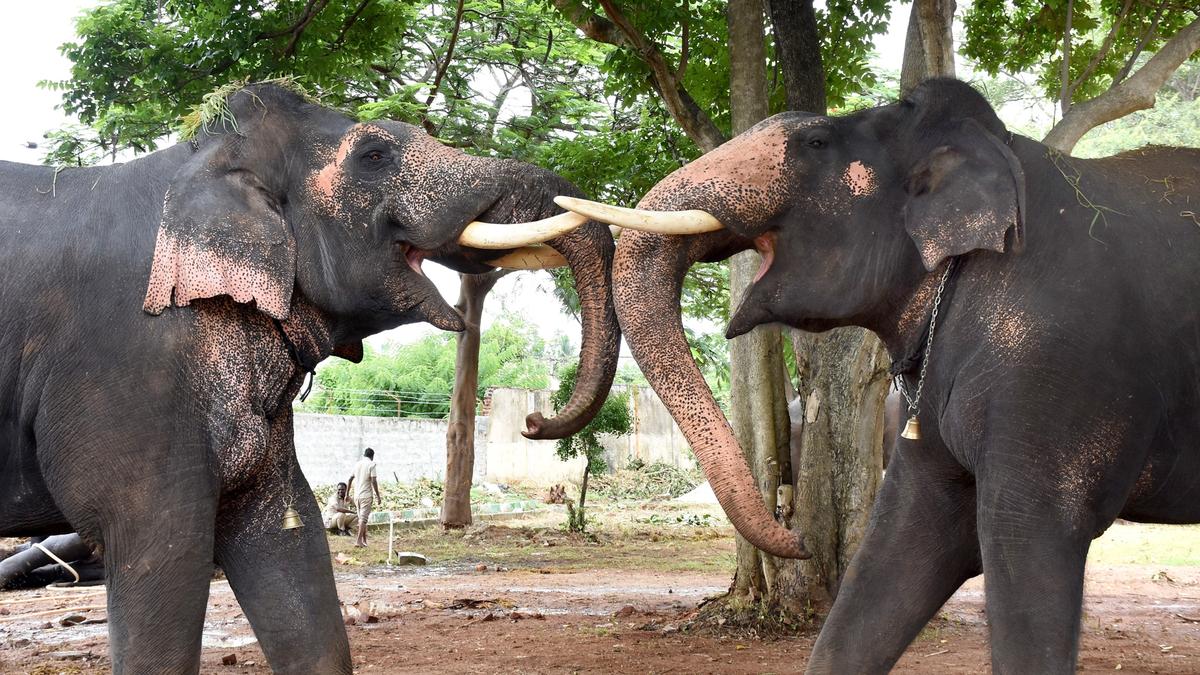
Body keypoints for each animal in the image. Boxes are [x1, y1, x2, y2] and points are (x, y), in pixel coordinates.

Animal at [0, 82, 619, 673]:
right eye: (373, 156)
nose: (534, 421)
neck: (199, 158)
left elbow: (285, 530)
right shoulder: (130, 363)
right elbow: (162, 545)